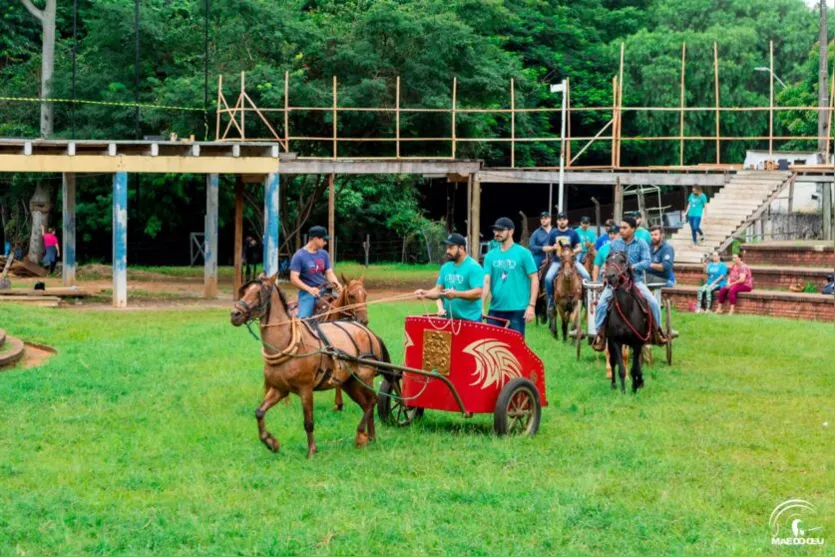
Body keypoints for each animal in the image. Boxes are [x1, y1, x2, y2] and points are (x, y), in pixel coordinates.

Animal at [230, 276, 390, 458]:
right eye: (245, 291)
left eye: (259, 293)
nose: (234, 314)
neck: (289, 342)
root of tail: (367, 332)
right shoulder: (279, 389)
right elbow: (259, 412)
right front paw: (271, 442)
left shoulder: (305, 389)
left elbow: (308, 422)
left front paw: (312, 450)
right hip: (350, 383)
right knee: (366, 404)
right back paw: (371, 437)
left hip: (364, 378)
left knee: (372, 401)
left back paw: (362, 435)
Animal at [604, 250, 656, 394]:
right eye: (607, 261)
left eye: (622, 261)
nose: (610, 276)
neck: (626, 309)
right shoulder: (615, 342)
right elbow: (621, 368)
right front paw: (623, 391)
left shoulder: (637, 342)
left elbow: (634, 368)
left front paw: (634, 388)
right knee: (612, 361)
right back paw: (613, 384)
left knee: (637, 364)